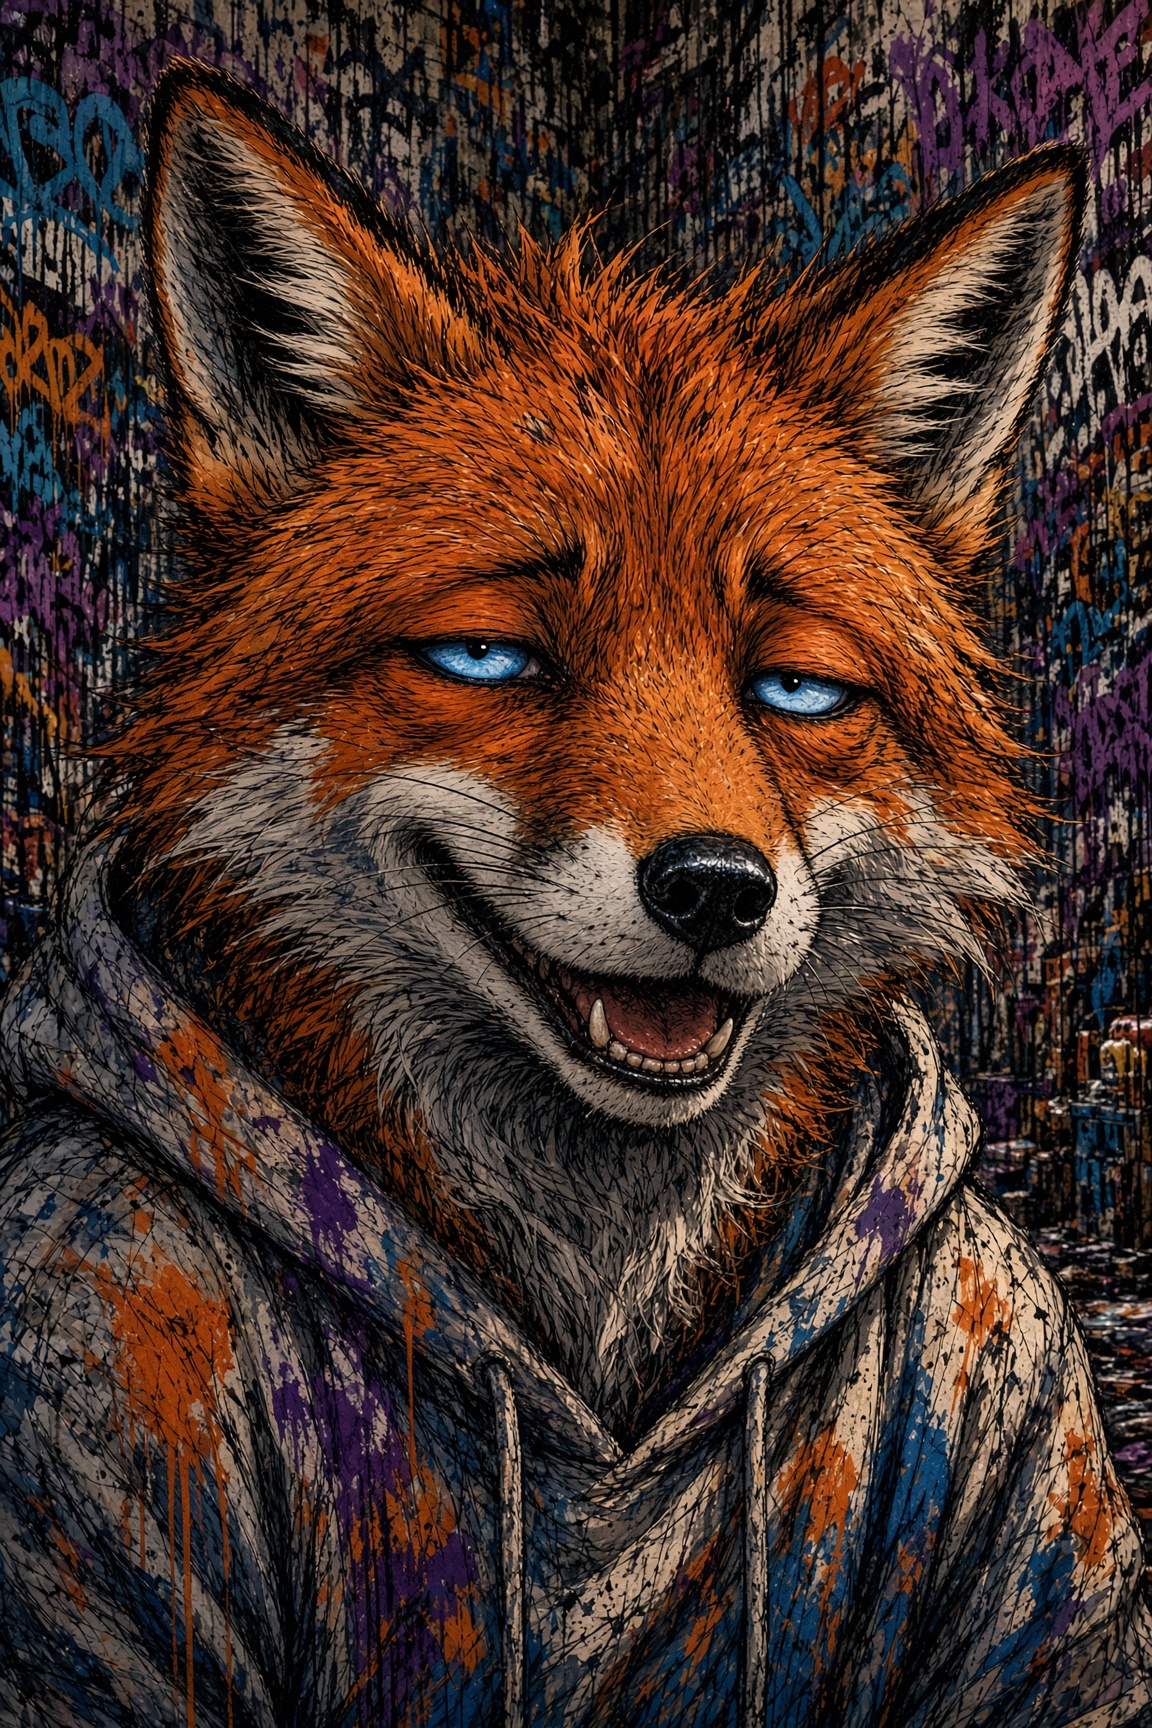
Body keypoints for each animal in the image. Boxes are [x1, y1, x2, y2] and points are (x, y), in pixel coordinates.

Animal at [1, 59, 1149, 1728]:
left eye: (795, 688)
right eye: (492, 658)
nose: (716, 889)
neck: (594, 1308)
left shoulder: (1010, 1370)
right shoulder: (96, 1337)